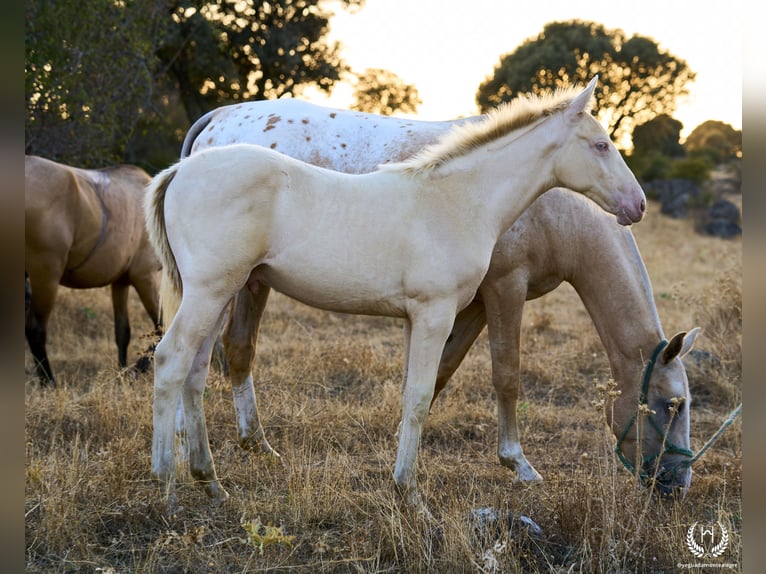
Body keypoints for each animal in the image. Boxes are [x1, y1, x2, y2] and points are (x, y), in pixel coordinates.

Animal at [25, 155, 162, 388]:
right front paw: (136, 370)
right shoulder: (145, 276)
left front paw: (121, 372)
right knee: (36, 329)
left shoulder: (121, 282)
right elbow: (161, 327)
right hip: (45, 277)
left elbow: (123, 331)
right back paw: (49, 383)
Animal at [146, 77, 648, 512]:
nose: (637, 204)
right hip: (210, 292)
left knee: (196, 370)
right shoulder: (438, 312)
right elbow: (424, 395)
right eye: (601, 144)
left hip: (222, 292)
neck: (457, 199)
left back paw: (210, 481)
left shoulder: (423, 317)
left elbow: (416, 392)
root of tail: (179, 170)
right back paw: (167, 488)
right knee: (172, 359)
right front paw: (410, 492)